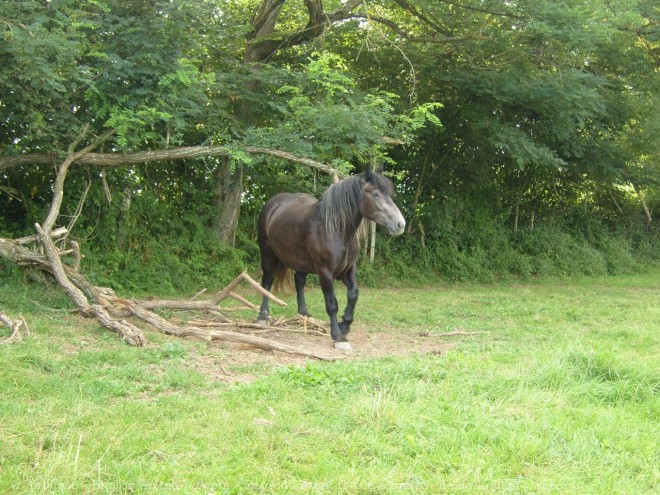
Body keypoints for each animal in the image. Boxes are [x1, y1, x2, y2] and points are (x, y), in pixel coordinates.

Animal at [260, 169, 408, 350]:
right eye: (375, 194)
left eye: (389, 194)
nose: (400, 224)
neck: (336, 230)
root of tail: (273, 203)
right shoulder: (325, 272)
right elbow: (332, 304)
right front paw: (338, 336)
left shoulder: (348, 270)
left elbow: (353, 295)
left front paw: (345, 324)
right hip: (267, 253)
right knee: (267, 281)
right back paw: (263, 316)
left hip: (301, 262)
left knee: (299, 281)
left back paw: (305, 314)